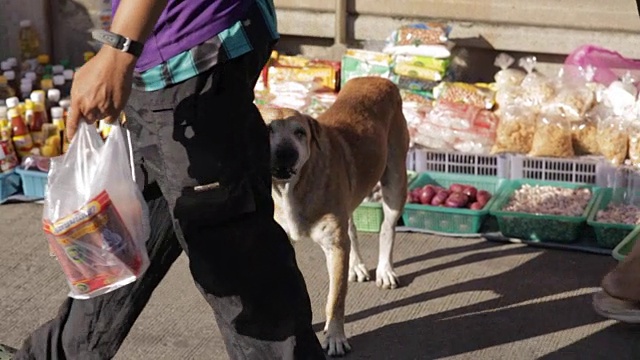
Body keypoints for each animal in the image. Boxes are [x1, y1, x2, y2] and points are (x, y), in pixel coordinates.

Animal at [258, 77, 408, 356]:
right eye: (267, 130)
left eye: (300, 132)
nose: (287, 153)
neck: (292, 189)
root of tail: (377, 79)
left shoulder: (335, 247)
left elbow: (335, 298)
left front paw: (335, 337)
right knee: (351, 229)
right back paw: (357, 265)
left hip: (395, 179)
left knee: (387, 227)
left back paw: (385, 270)